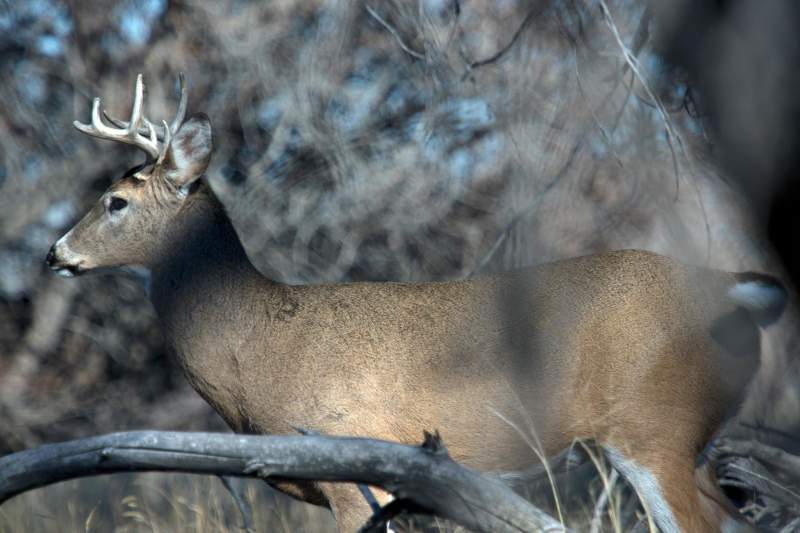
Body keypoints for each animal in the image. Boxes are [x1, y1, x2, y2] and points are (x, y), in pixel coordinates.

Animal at [48, 72, 788, 528]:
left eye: (115, 201)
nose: (54, 252)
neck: (256, 342)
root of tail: (728, 287)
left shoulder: (353, 461)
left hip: (654, 427)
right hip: (688, 441)